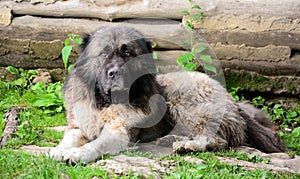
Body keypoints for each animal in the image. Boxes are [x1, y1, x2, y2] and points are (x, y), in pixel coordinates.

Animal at [50, 25, 288, 163]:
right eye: (103, 53)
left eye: (127, 53)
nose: (115, 72)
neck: (104, 102)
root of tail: (230, 98)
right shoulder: (78, 127)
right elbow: (69, 137)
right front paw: (59, 149)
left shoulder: (119, 132)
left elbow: (95, 144)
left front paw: (77, 154)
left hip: (181, 98)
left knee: (218, 139)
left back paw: (186, 145)